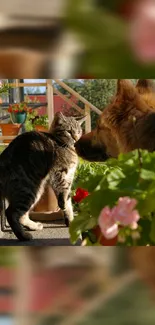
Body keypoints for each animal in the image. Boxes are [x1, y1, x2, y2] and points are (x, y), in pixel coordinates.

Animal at [0, 112, 84, 240]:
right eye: (69, 131)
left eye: (79, 131)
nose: (76, 138)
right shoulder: (59, 173)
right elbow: (64, 196)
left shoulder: (69, 176)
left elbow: (68, 202)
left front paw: (70, 220)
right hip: (28, 189)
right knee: (11, 212)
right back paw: (23, 235)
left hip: (36, 190)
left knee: (22, 215)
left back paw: (33, 226)